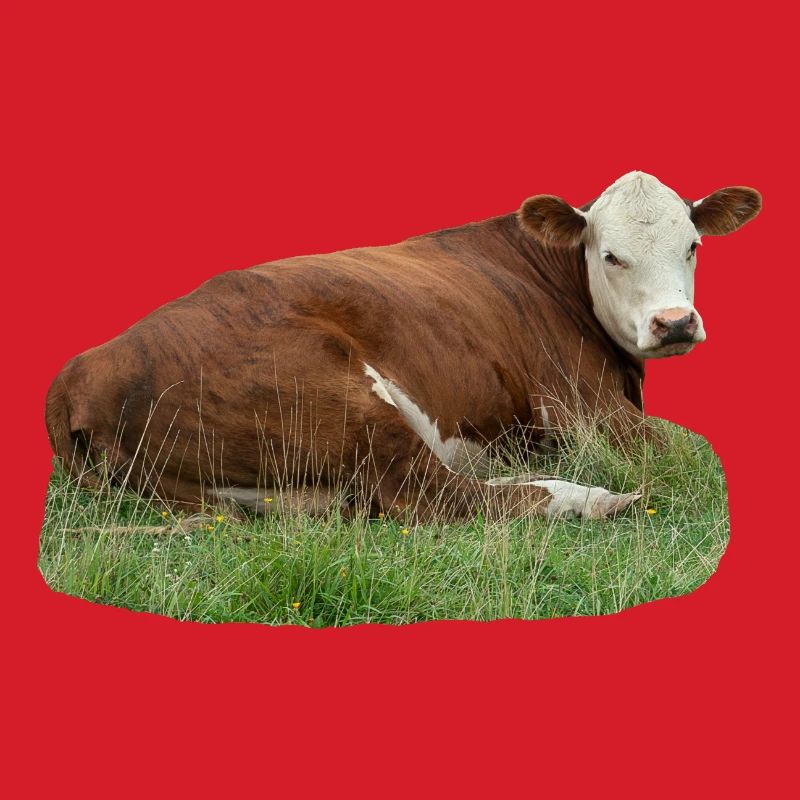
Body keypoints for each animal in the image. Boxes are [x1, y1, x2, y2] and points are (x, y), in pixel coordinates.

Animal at [46, 172, 761, 521]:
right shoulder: (585, 408)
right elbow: (688, 452)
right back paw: (590, 498)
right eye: (610, 255)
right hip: (340, 402)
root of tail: (81, 368)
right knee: (435, 497)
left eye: (693, 245)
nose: (675, 323)